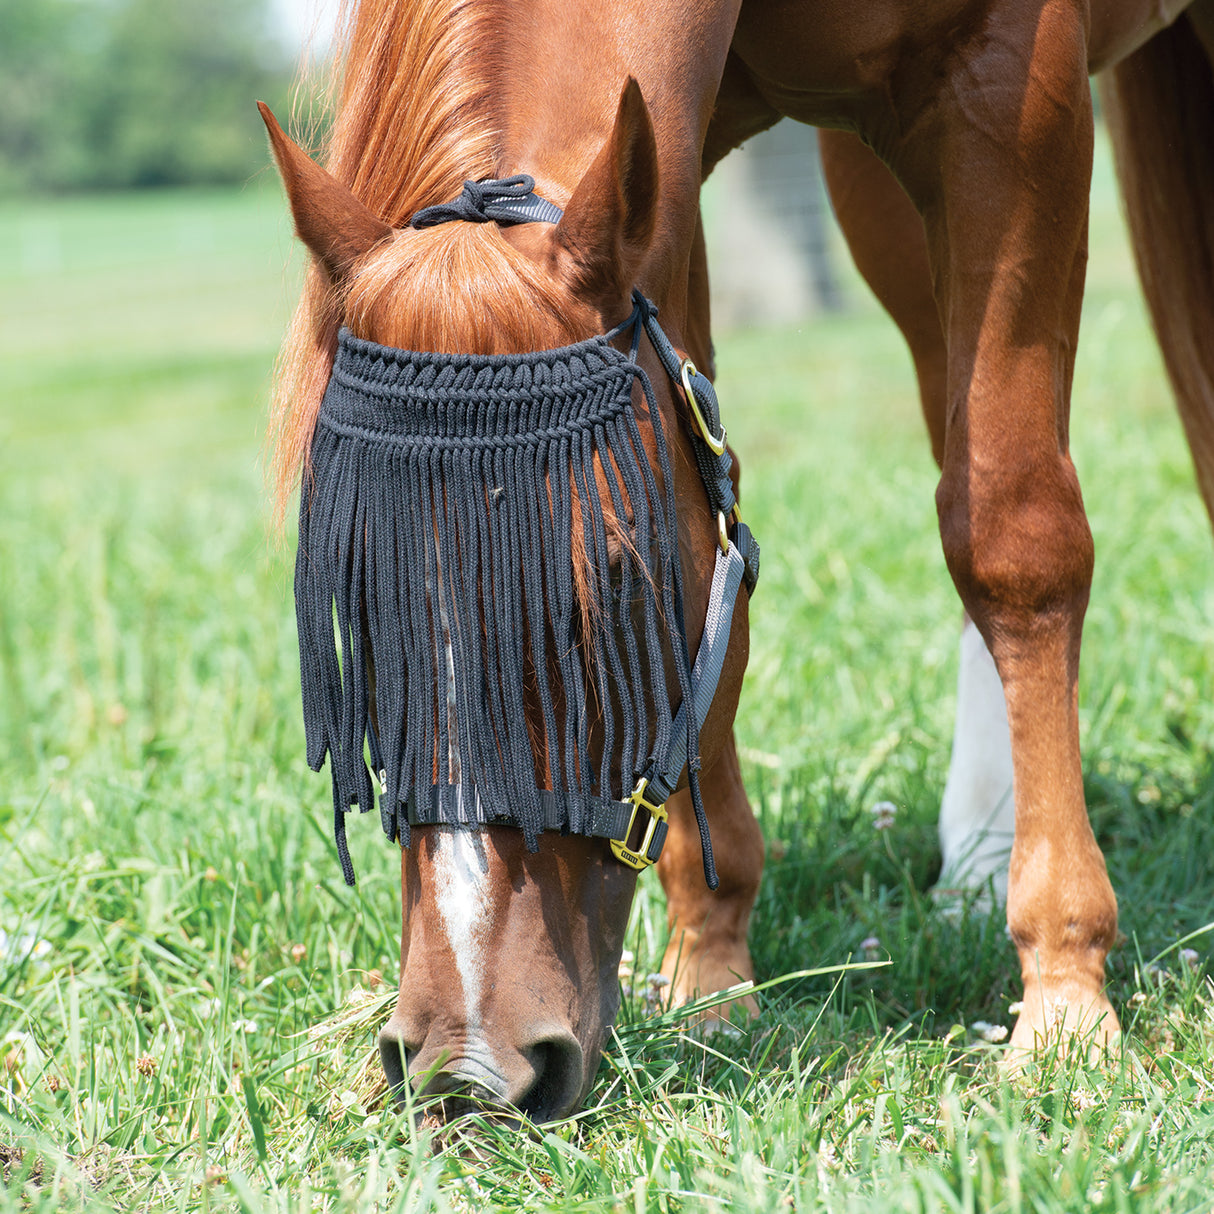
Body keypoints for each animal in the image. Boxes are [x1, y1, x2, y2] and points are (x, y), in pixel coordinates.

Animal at [263, 0, 1214, 1122]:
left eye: (610, 584)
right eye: (356, 614)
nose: (468, 1067)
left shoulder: (1009, 99)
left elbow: (1013, 538)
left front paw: (1065, 1001)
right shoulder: (669, 186)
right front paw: (710, 978)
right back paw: (978, 855)